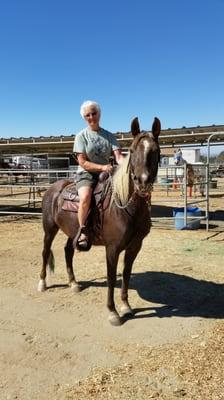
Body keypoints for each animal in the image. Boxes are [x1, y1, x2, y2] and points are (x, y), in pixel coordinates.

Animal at [38, 115, 161, 324]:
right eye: (133, 150)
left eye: (155, 151)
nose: (142, 182)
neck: (126, 206)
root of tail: (54, 188)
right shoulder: (112, 248)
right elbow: (111, 277)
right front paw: (113, 312)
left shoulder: (135, 246)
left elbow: (126, 274)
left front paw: (126, 306)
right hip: (49, 229)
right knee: (46, 252)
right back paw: (42, 283)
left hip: (73, 232)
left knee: (68, 251)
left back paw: (73, 283)